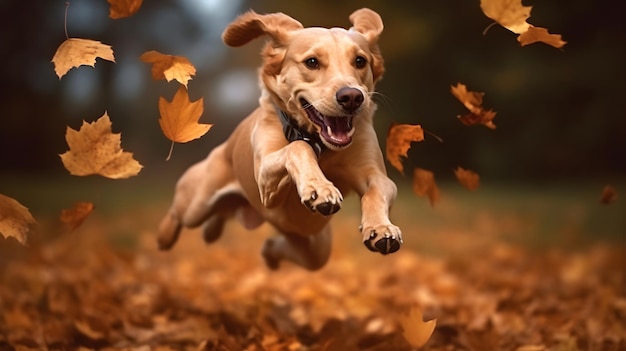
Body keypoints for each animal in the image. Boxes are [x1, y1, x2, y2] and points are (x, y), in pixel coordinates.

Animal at [156, 7, 400, 272]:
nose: (352, 97)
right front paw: (320, 188)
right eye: (312, 62)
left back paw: (269, 254)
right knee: (179, 213)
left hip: (313, 243)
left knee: (288, 249)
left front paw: (381, 228)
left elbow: (378, 189)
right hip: (197, 201)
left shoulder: (373, 172)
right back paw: (164, 237)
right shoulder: (265, 179)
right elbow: (298, 147)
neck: (318, 142)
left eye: (360, 61)